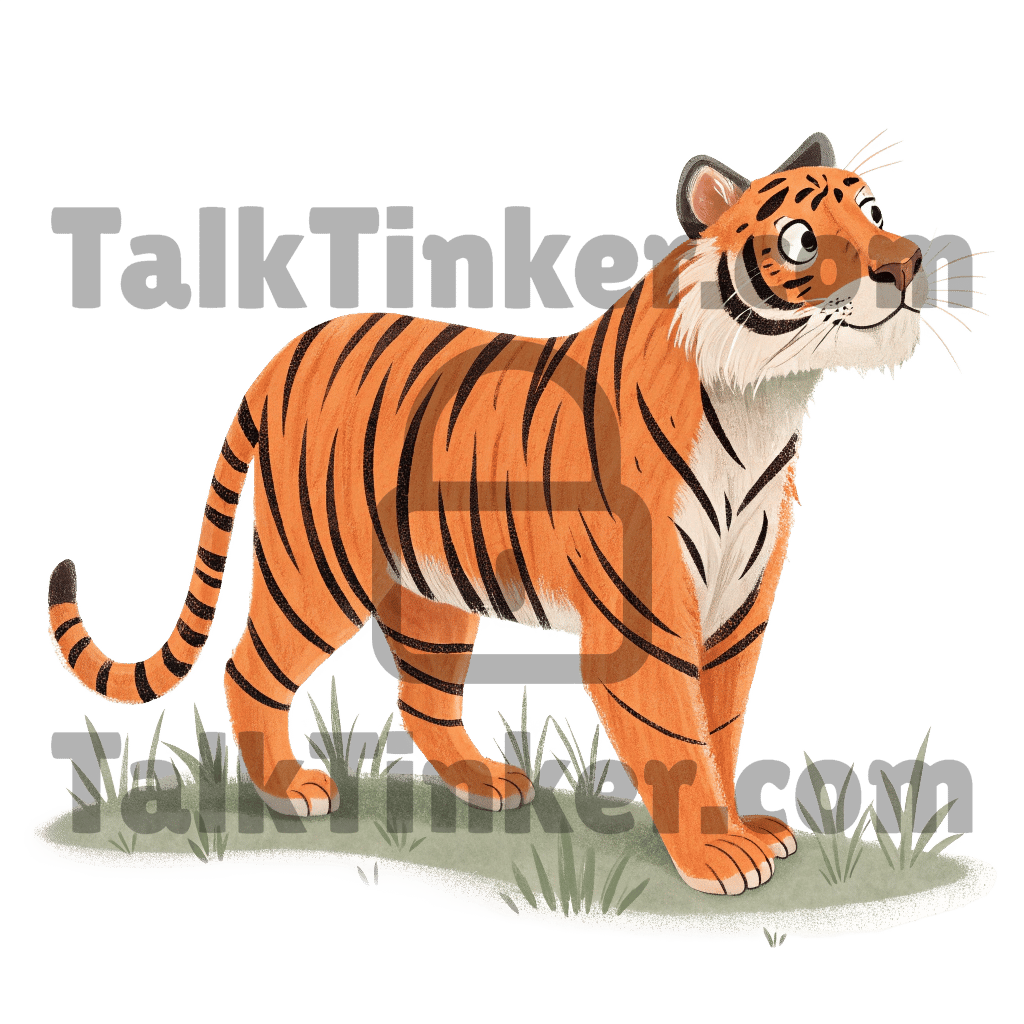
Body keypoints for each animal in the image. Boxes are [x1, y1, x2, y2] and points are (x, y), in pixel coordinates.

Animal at [47, 129, 930, 896]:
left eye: (873, 211)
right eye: (800, 239)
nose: (908, 262)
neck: (766, 402)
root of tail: (286, 354)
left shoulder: (737, 610)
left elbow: (721, 722)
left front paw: (745, 828)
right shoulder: (646, 617)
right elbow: (680, 737)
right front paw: (718, 855)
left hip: (431, 593)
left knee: (424, 695)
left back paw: (483, 782)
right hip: (317, 572)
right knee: (249, 665)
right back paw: (289, 790)